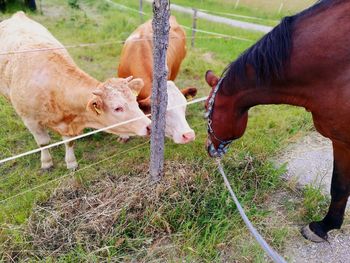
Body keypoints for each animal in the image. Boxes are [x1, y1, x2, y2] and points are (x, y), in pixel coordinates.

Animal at [0, 11, 150, 171]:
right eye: (117, 108)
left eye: (135, 102)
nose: (149, 126)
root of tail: (18, 15)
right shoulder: (31, 121)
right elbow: (43, 143)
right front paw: (46, 162)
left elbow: (69, 142)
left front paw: (71, 162)